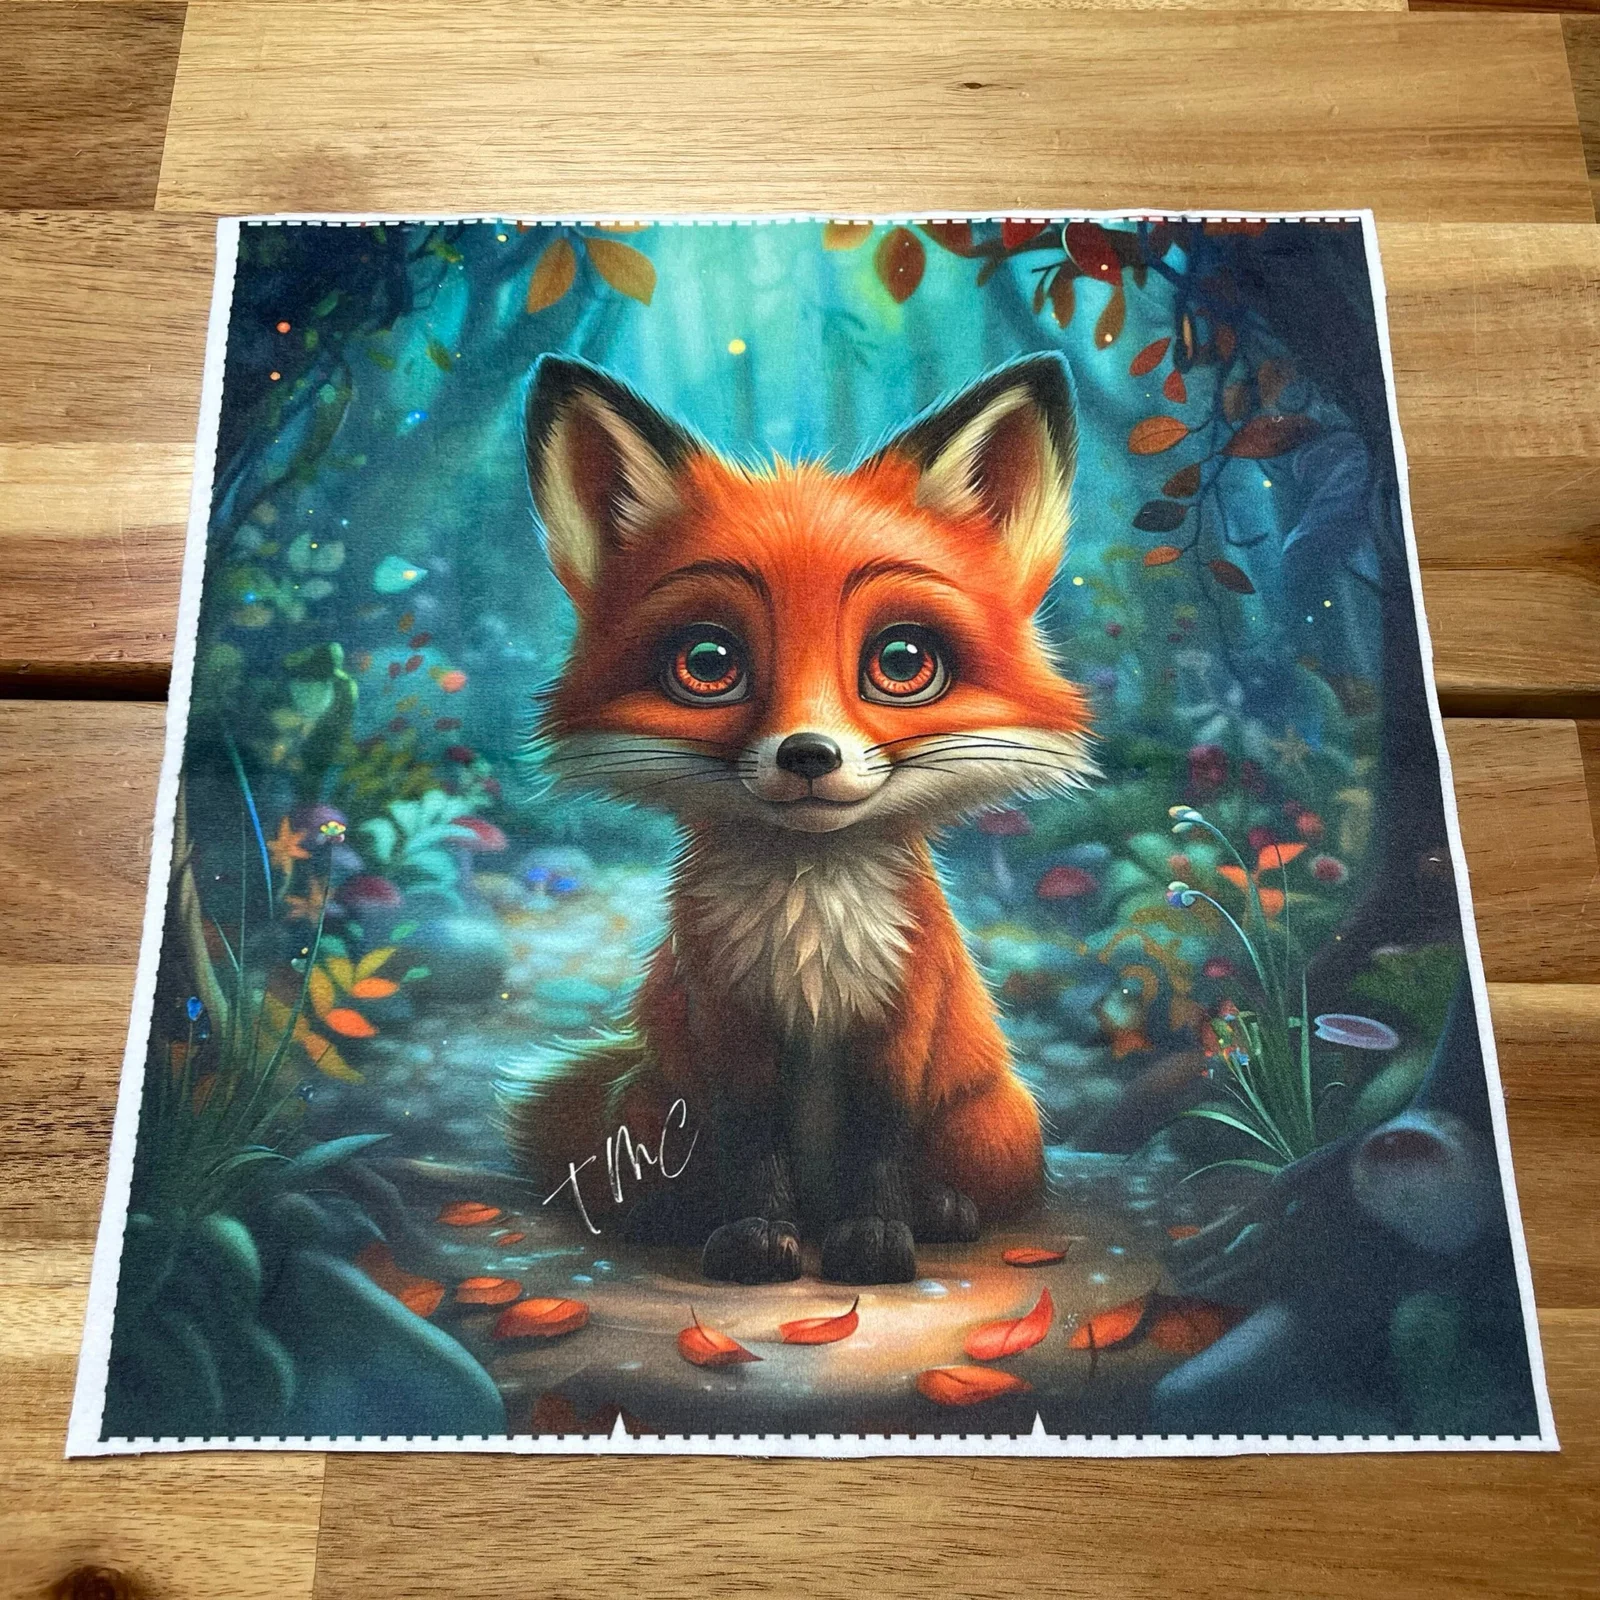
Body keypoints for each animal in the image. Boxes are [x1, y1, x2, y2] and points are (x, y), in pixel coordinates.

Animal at [507, 351, 1094, 1285]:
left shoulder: (901, 1016)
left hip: (997, 1124)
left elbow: (881, 1139)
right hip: (649, 1104)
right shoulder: (727, 1018)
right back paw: (673, 1214)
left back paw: (942, 1211)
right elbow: (752, 1142)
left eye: (903, 661)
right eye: (708, 662)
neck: (810, 928)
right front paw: (755, 1240)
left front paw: (877, 1240)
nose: (808, 755)